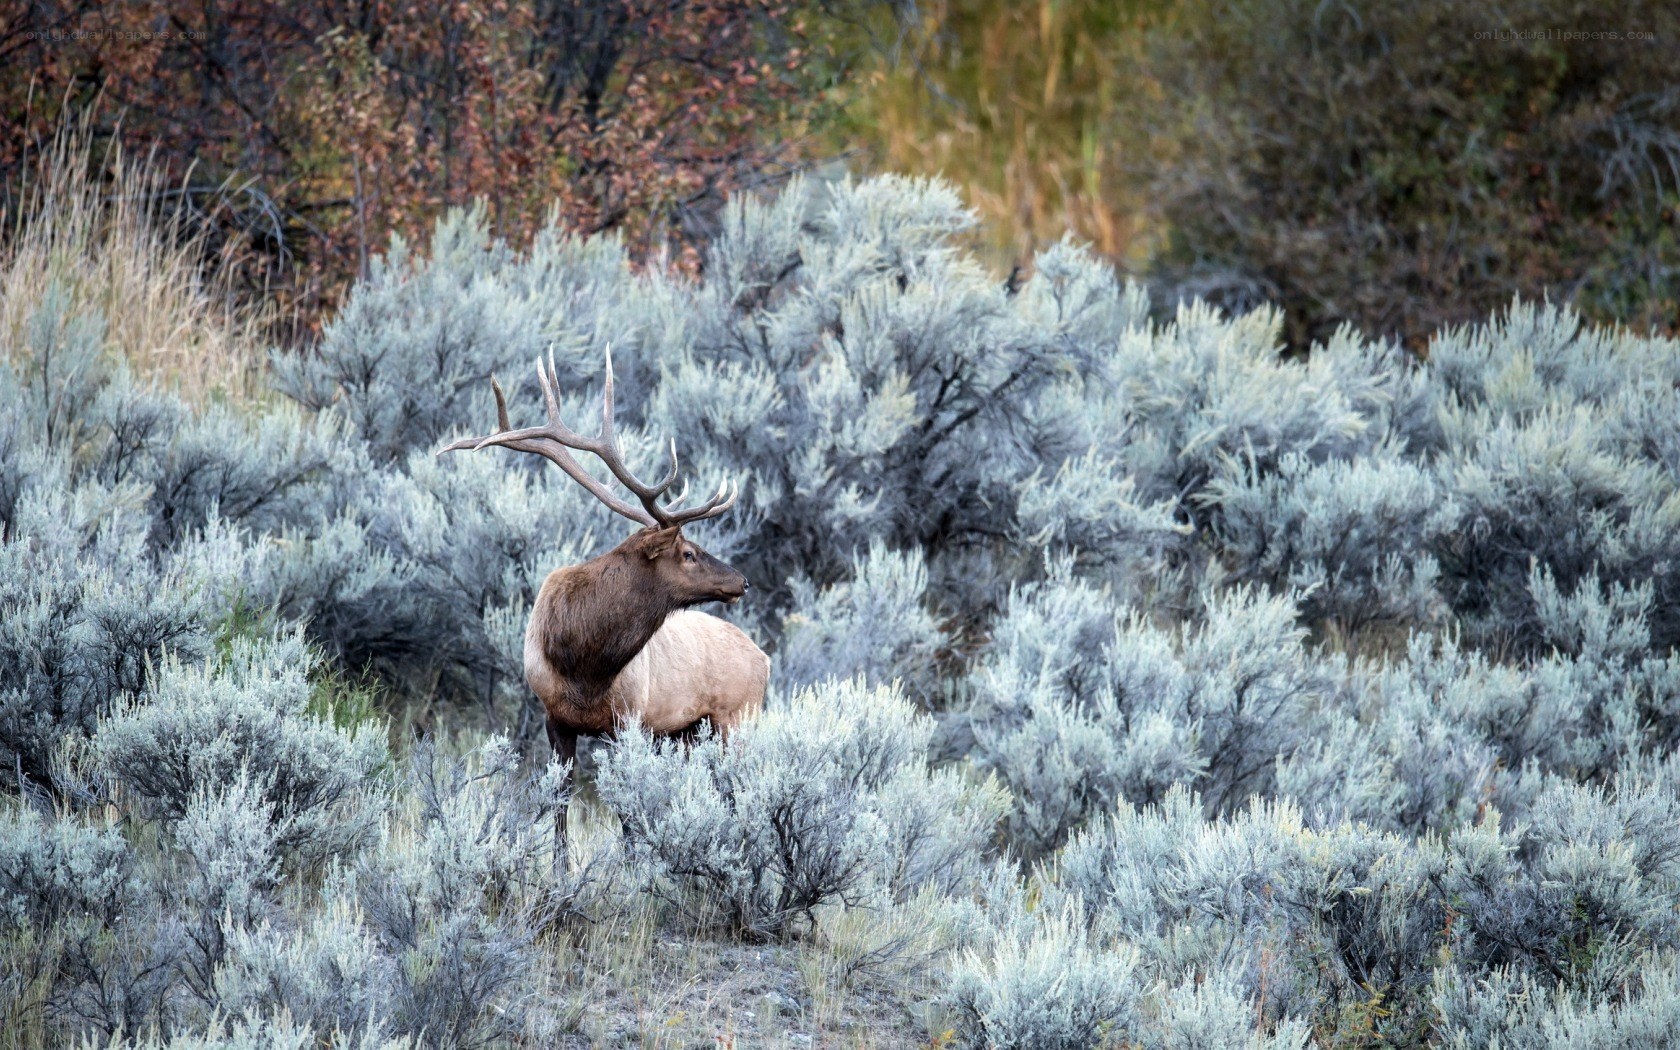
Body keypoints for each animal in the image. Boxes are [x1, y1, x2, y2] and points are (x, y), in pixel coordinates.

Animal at [440, 350, 769, 841]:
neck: (584, 663)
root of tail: (765, 659)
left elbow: (628, 814)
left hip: (738, 717)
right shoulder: (554, 719)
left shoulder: (628, 722)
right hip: (691, 731)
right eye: (688, 553)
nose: (742, 581)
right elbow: (559, 806)